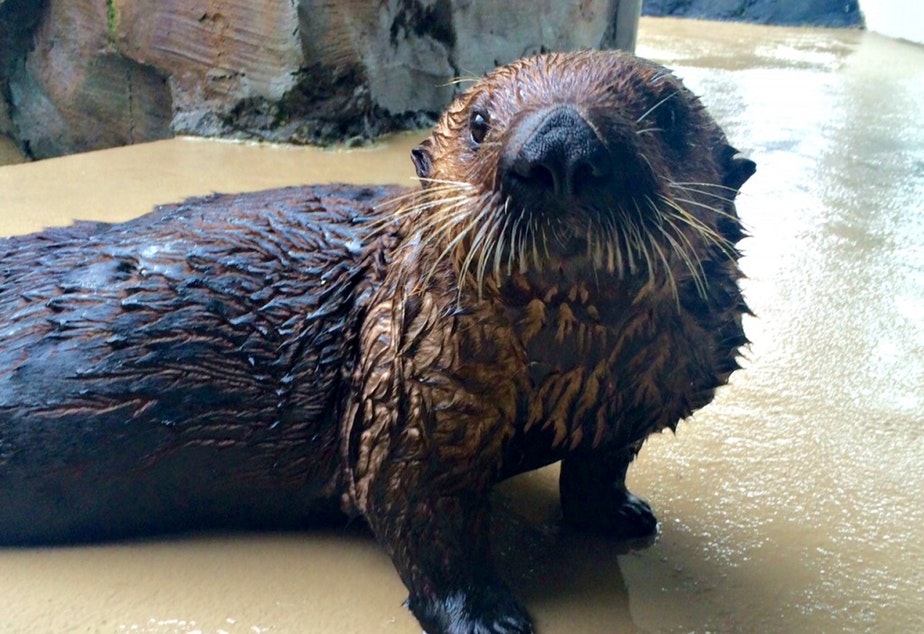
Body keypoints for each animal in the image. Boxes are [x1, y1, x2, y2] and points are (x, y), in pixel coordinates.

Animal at [0, 51, 755, 634]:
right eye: (479, 123)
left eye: (665, 115)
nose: (559, 147)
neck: (572, 372)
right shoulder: (406, 390)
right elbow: (420, 512)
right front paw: (486, 617)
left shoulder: (635, 398)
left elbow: (600, 466)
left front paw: (623, 514)